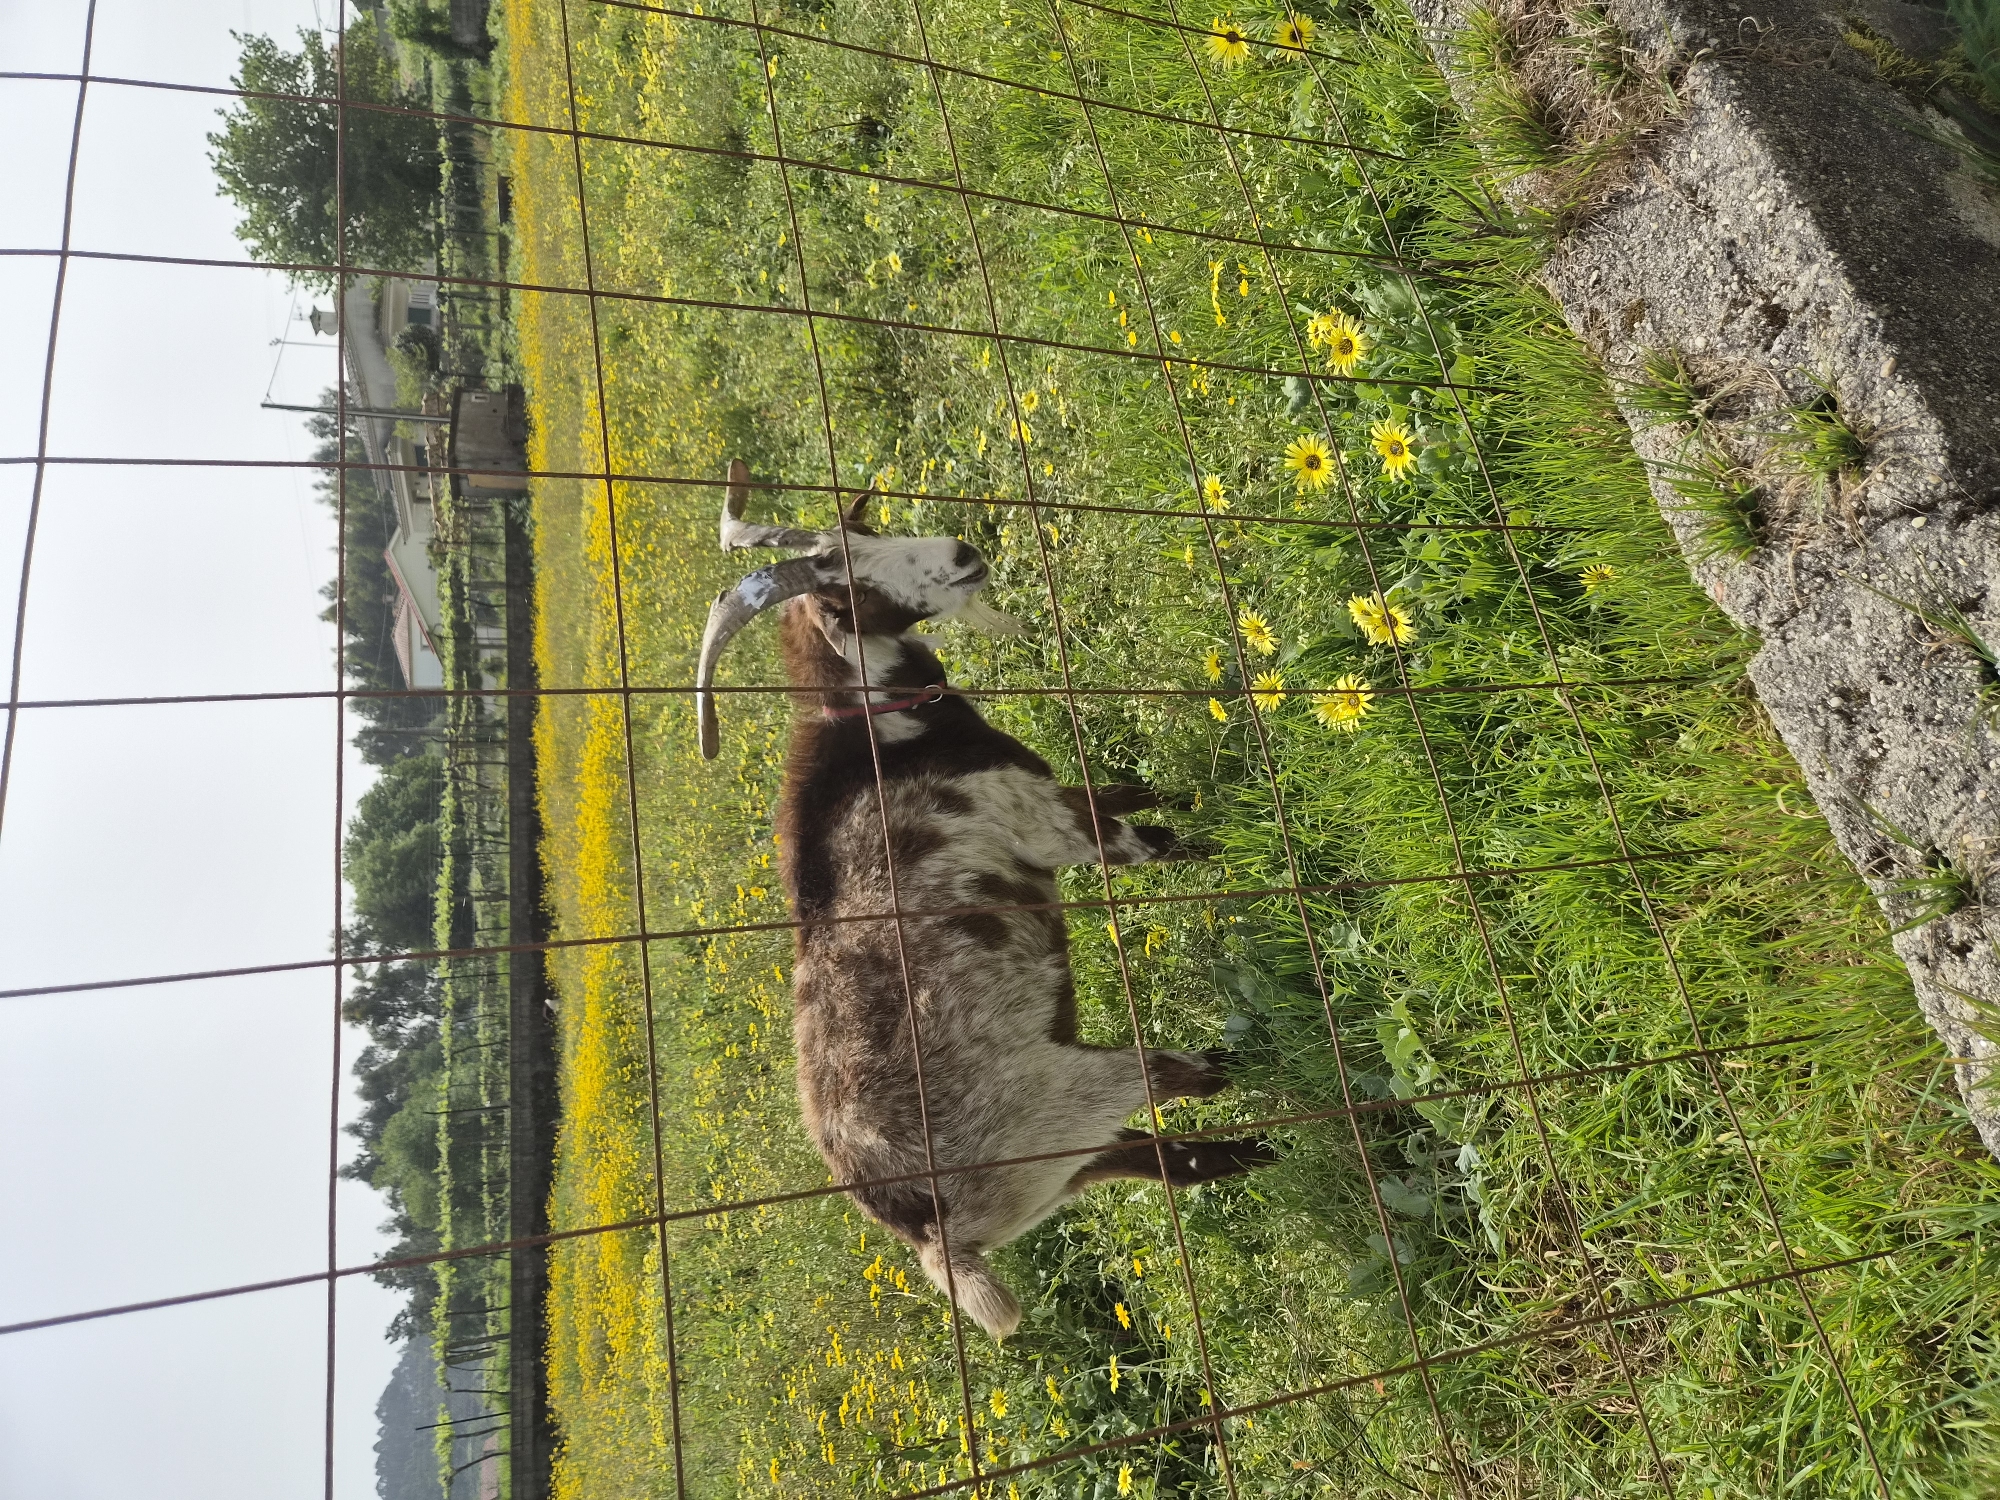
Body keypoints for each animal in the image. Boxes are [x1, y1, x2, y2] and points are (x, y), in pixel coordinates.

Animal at [694, 461, 1273, 1339]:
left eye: (863, 531)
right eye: (850, 593)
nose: (963, 554)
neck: (882, 739)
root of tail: (928, 1233)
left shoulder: (1055, 790)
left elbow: (1136, 790)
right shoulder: (1047, 825)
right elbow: (1156, 841)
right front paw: (1264, 840)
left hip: (1065, 1169)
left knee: (1172, 1163)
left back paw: (1264, 1153)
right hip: (1067, 1097)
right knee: (1188, 1079)